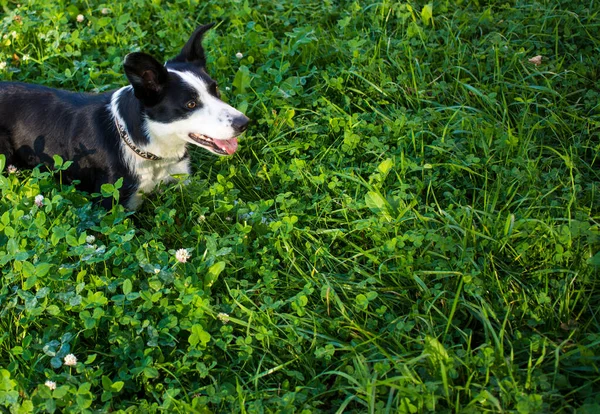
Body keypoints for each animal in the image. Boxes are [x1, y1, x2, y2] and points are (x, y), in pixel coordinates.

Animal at [0, 23, 248, 209]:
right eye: (191, 103)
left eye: (215, 90)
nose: (244, 123)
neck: (151, 149)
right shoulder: (118, 204)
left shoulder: (182, 180)